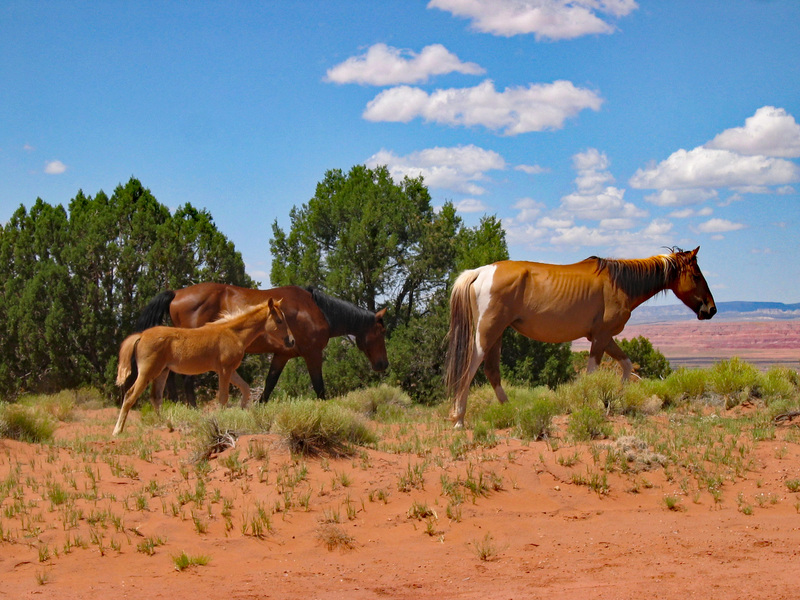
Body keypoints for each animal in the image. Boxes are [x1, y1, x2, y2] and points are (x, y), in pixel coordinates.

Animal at [113, 297, 294, 436]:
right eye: (279, 320)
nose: (291, 341)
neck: (233, 333)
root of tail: (142, 335)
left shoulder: (231, 370)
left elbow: (245, 388)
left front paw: (243, 411)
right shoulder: (224, 370)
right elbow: (223, 397)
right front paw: (223, 421)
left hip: (162, 372)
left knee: (155, 397)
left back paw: (167, 425)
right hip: (147, 372)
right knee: (130, 396)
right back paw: (117, 431)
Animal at [134, 283, 388, 403]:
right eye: (381, 332)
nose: (383, 364)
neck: (318, 311)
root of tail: (177, 293)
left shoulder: (282, 355)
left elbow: (269, 384)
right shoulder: (313, 354)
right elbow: (320, 387)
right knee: (184, 380)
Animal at [445, 247, 716, 428]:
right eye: (696, 275)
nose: (711, 309)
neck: (619, 283)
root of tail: (482, 271)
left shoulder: (604, 337)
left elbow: (627, 365)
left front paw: (617, 397)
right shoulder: (601, 338)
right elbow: (592, 373)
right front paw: (592, 404)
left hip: (498, 334)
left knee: (492, 371)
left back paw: (512, 411)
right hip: (487, 332)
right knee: (469, 368)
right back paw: (459, 419)